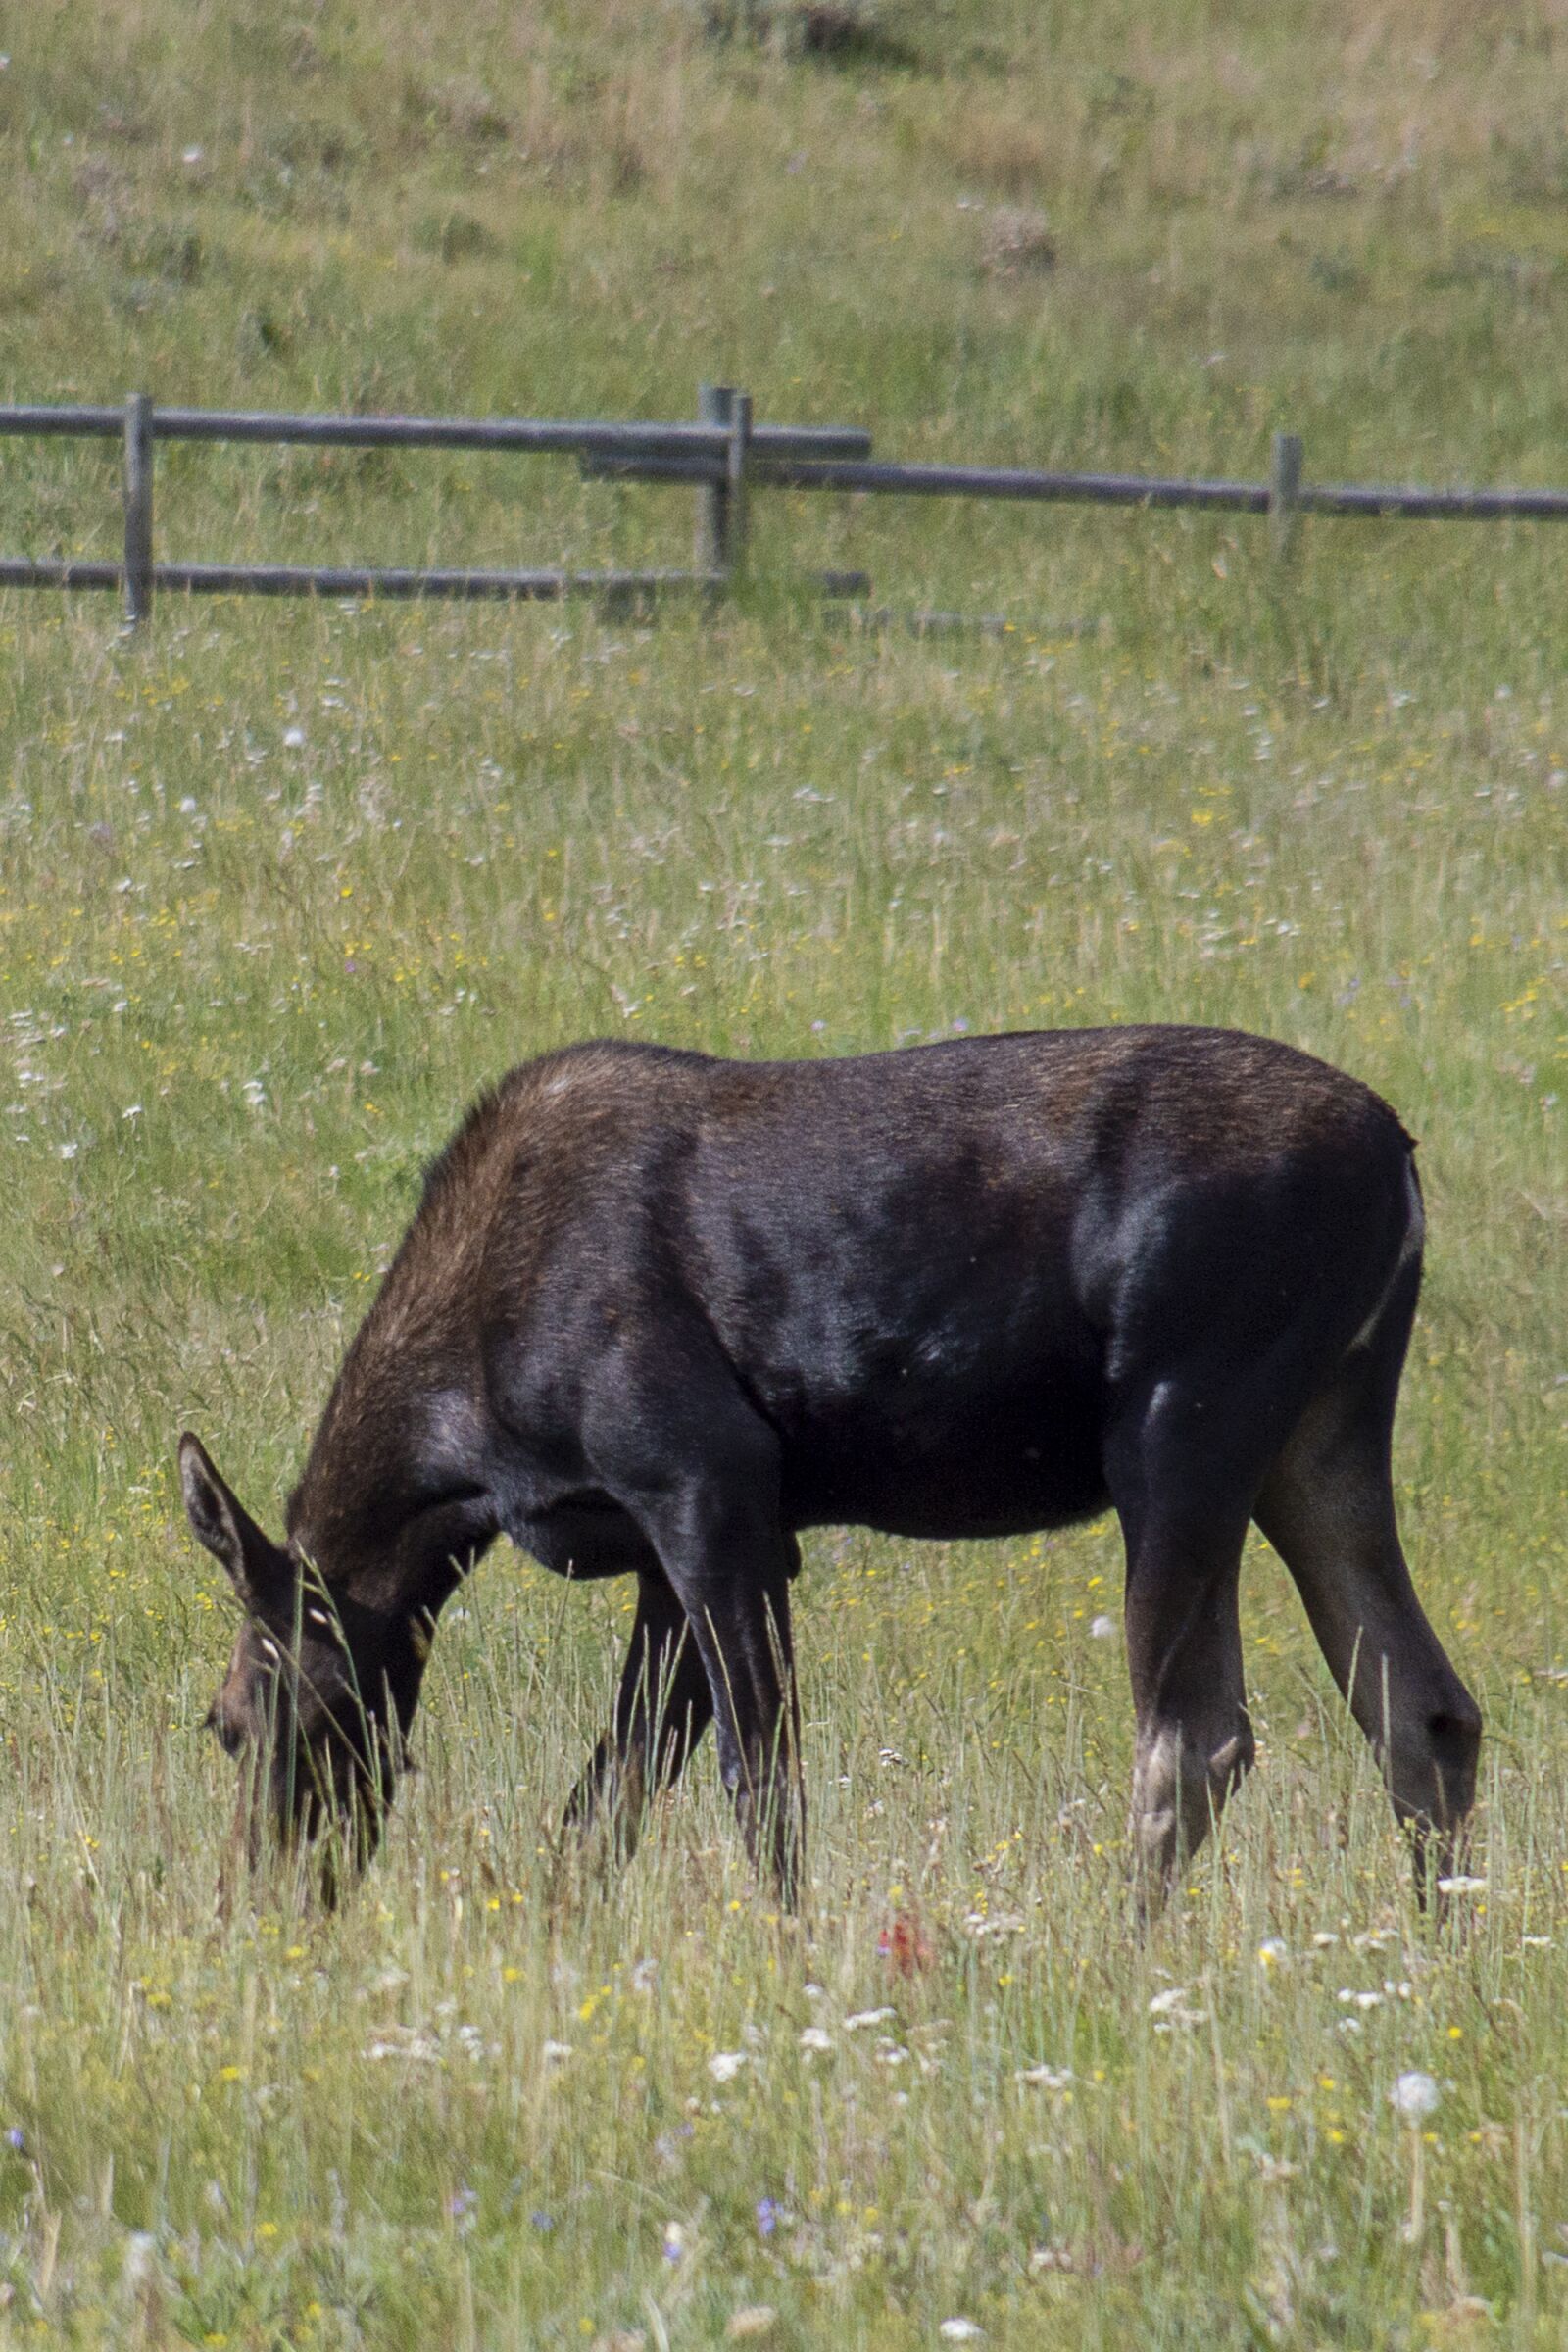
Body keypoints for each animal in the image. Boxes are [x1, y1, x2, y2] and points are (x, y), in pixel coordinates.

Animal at [180, 1025, 1480, 1913]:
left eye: (232, 1721)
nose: (262, 1901)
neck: (464, 1465)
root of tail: (1404, 1163)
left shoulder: (707, 1482)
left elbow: (755, 1781)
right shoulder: (665, 1548)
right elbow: (604, 1801)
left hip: (1184, 1425)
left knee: (1196, 1737)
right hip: (1321, 1430)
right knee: (1421, 1707)